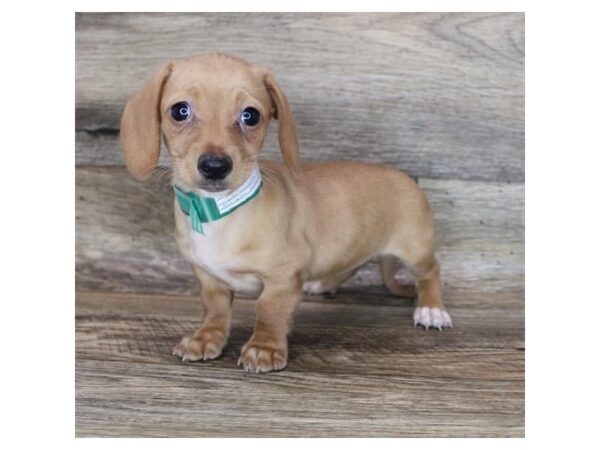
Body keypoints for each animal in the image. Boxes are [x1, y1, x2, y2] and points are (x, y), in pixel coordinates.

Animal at [119, 52, 452, 374]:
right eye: (180, 111)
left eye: (250, 115)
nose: (215, 166)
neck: (219, 211)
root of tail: (406, 178)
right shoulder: (208, 278)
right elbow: (215, 310)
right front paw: (205, 338)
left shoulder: (282, 278)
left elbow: (269, 310)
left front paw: (264, 348)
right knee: (350, 266)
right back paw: (322, 284)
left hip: (416, 248)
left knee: (430, 273)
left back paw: (432, 309)